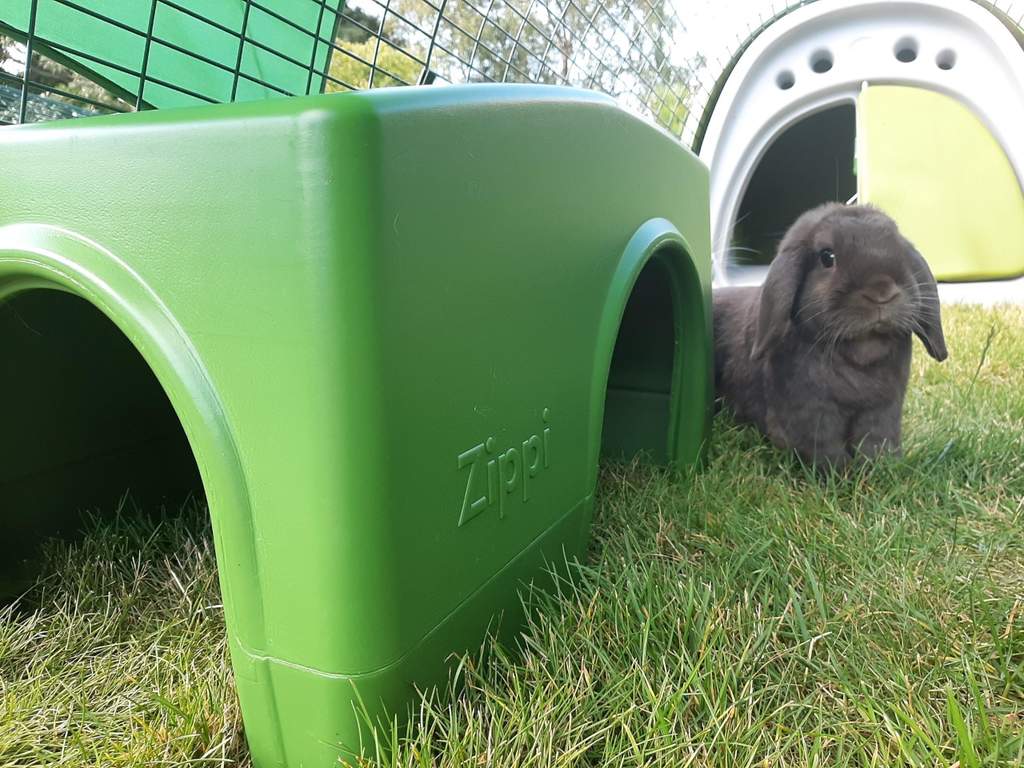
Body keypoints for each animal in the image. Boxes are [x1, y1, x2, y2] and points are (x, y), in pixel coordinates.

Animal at [713, 203, 947, 470]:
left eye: (899, 251)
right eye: (827, 257)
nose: (882, 292)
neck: (860, 358)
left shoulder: (882, 410)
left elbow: (876, 441)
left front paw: (882, 467)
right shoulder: (813, 413)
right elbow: (824, 446)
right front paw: (840, 472)